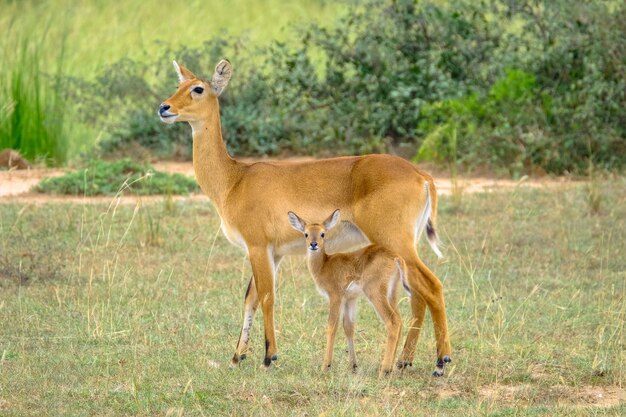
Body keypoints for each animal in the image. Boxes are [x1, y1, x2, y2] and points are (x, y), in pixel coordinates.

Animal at [286, 208, 408, 374]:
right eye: (306, 233)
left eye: (323, 233)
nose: (313, 244)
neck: (324, 265)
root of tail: (395, 257)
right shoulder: (350, 299)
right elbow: (348, 327)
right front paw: (353, 365)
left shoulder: (335, 297)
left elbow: (332, 326)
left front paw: (326, 366)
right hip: (392, 294)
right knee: (400, 321)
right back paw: (393, 367)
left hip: (375, 294)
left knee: (393, 322)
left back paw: (384, 369)